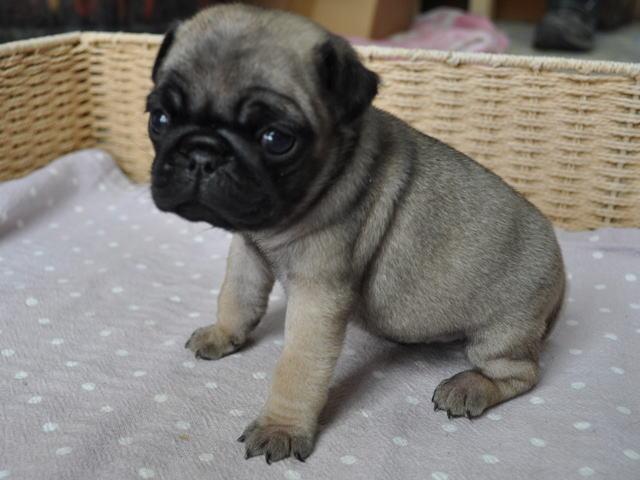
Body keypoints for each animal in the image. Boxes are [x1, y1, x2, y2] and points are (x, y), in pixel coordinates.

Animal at [147, 4, 565, 463]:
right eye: (159, 119)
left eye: (276, 139)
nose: (202, 153)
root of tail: (562, 271)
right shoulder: (248, 252)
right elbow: (237, 298)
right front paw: (224, 334)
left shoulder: (318, 295)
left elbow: (298, 365)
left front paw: (282, 427)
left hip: (501, 331)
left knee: (523, 373)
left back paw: (470, 386)